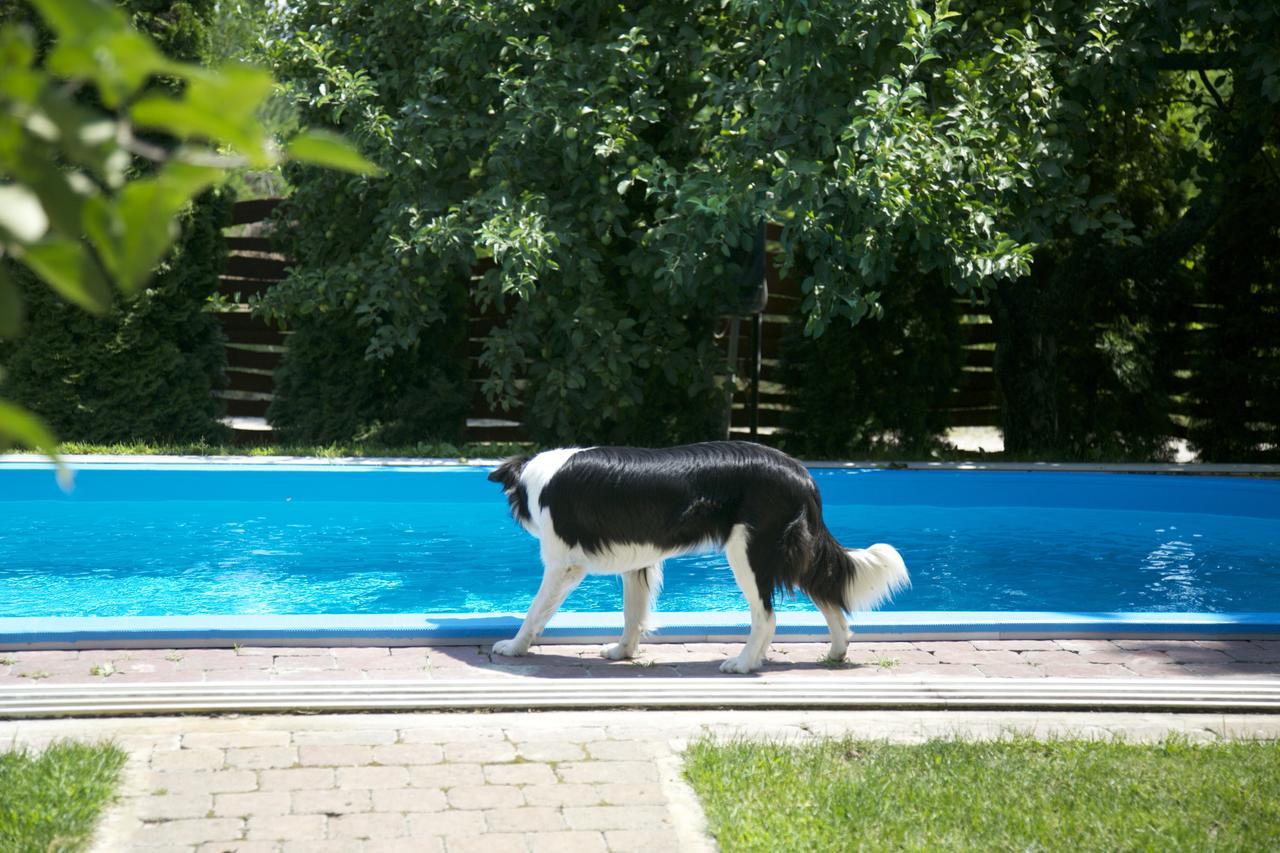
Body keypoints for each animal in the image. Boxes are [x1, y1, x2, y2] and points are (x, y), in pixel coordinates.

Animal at [481, 438, 911, 671]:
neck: (537, 477)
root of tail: (802, 474)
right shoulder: (637, 562)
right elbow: (633, 614)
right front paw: (623, 652)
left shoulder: (563, 564)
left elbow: (535, 611)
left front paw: (513, 647)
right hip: (793, 552)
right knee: (829, 595)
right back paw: (835, 654)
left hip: (748, 552)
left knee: (767, 616)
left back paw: (743, 664)